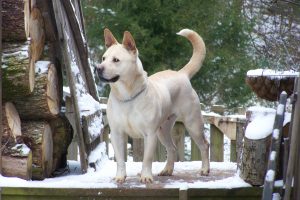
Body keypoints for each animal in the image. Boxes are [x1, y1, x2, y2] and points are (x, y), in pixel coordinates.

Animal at [96, 28, 209, 184]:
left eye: (116, 60)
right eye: (103, 58)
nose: (98, 68)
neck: (127, 97)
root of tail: (181, 74)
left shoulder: (150, 134)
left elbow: (147, 159)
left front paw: (146, 176)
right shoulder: (116, 134)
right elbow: (120, 159)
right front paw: (120, 177)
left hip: (193, 125)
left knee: (204, 145)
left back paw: (205, 169)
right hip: (163, 130)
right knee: (172, 148)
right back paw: (167, 170)